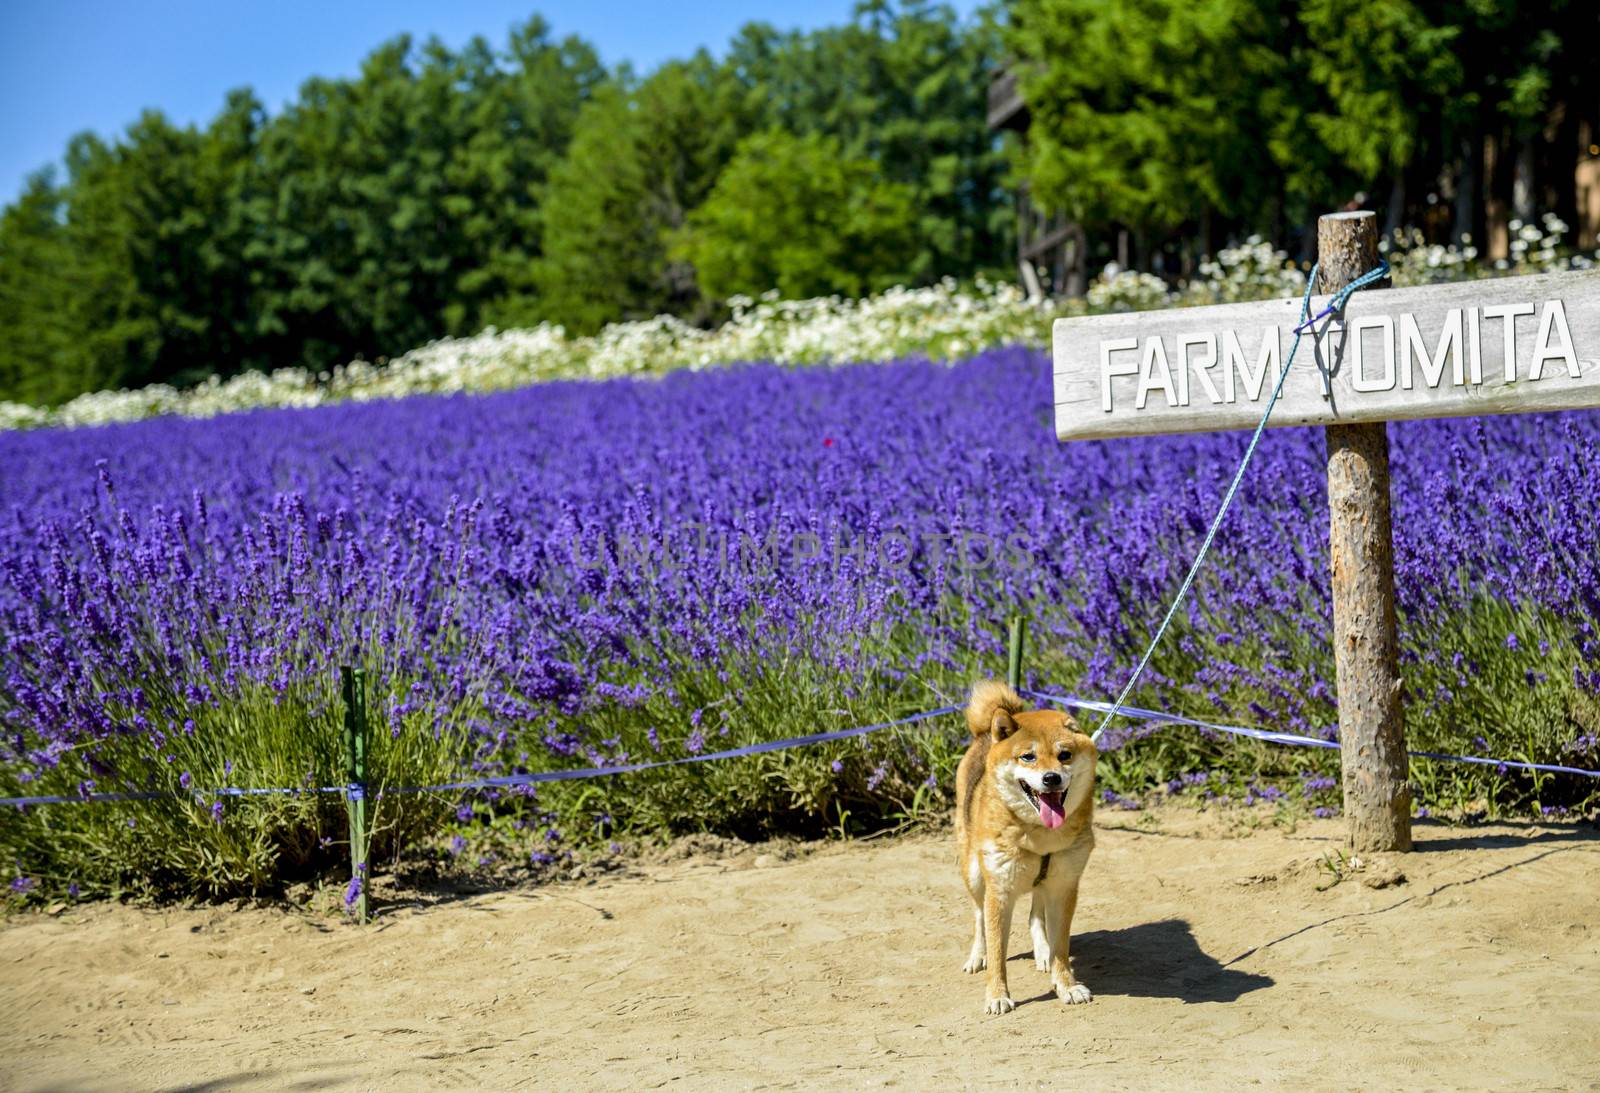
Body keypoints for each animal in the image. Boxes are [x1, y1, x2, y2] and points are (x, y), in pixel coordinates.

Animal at [953, 678, 1094, 1011]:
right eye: (1027, 757)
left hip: (1043, 881)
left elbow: (1060, 946)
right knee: (978, 917)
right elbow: (997, 953)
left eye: (1064, 754)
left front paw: (1066, 985)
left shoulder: (1064, 885)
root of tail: (985, 735)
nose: (1052, 778)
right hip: (974, 873)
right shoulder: (999, 891)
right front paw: (997, 995)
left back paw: (1042, 952)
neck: (1040, 835)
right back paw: (976, 956)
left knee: (1035, 916)